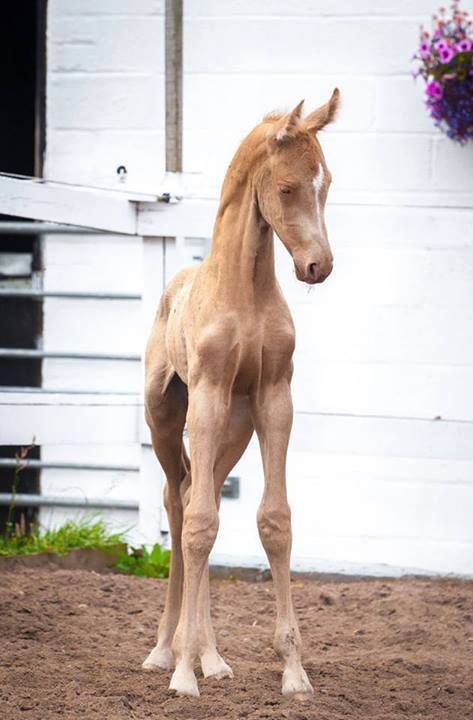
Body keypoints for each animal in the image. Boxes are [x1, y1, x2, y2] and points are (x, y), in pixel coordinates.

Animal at [142, 91, 338, 696]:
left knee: (192, 496)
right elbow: (201, 525)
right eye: (287, 187)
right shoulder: (206, 395)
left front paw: (294, 672)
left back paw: (211, 657)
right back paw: (166, 651)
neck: (243, 292)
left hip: (234, 428)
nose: (318, 266)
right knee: (178, 504)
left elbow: (274, 521)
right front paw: (183, 676)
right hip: (167, 418)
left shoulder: (275, 397)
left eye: (326, 183)